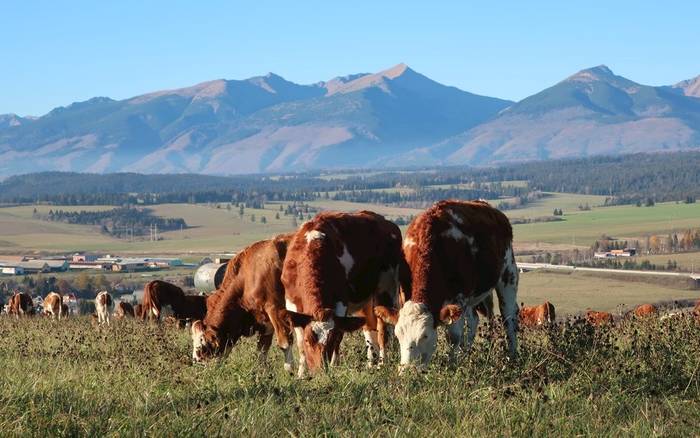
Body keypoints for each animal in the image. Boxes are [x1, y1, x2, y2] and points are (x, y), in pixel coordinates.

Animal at [190, 234, 294, 372]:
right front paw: (262, 373)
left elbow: (285, 343)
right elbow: (262, 350)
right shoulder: (265, 321)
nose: (197, 367)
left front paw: (291, 372)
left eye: (201, 348)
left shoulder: (276, 310)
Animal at [280, 211, 402, 376]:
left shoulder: (341, 302)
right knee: (369, 328)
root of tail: (386, 222)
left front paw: (333, 366)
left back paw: (381, 365)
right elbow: (300, 343)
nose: (319, 371)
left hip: (386, 289)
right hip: (365, 300)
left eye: (329, 342)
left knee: (383, 330)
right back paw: (370, 364)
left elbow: (339, 335)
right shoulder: (291, 303)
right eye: (308, 340)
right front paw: (301, 374)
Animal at [394, 201, 520, 370]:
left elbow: (453, 336)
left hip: (508, 275)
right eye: (398, 335)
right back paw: (466, 353)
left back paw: (512, 356)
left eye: (425, 335)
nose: (407, 370)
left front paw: (452, 365)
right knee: (474, 320)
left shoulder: (459, 297)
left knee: (509, 318)